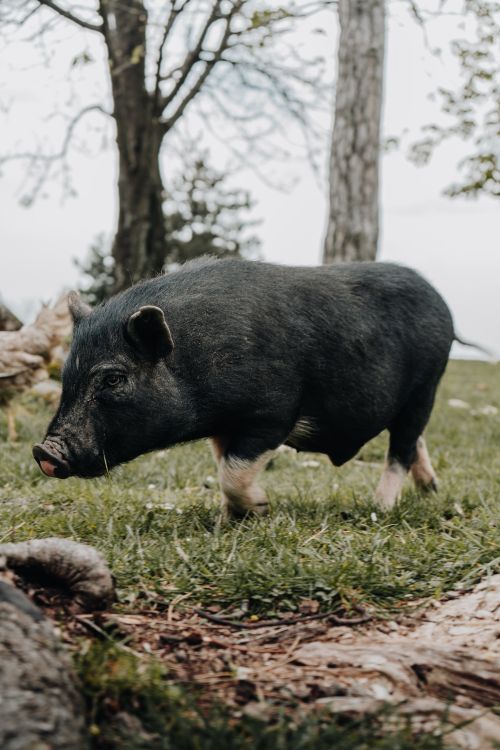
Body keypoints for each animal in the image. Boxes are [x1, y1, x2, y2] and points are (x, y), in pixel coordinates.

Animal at [33, 258, 454, 515]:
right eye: (66, 375)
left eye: (113, 378)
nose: (44, 451)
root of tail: (441, 300)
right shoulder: (225, 427)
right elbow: (225, 467)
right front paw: (230, 519)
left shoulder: (273, 413)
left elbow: (234, 472)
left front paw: (260, 508)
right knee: (414, 441)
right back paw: (430, 490)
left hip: (426, 387)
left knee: (402, 446)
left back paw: (379, 508)